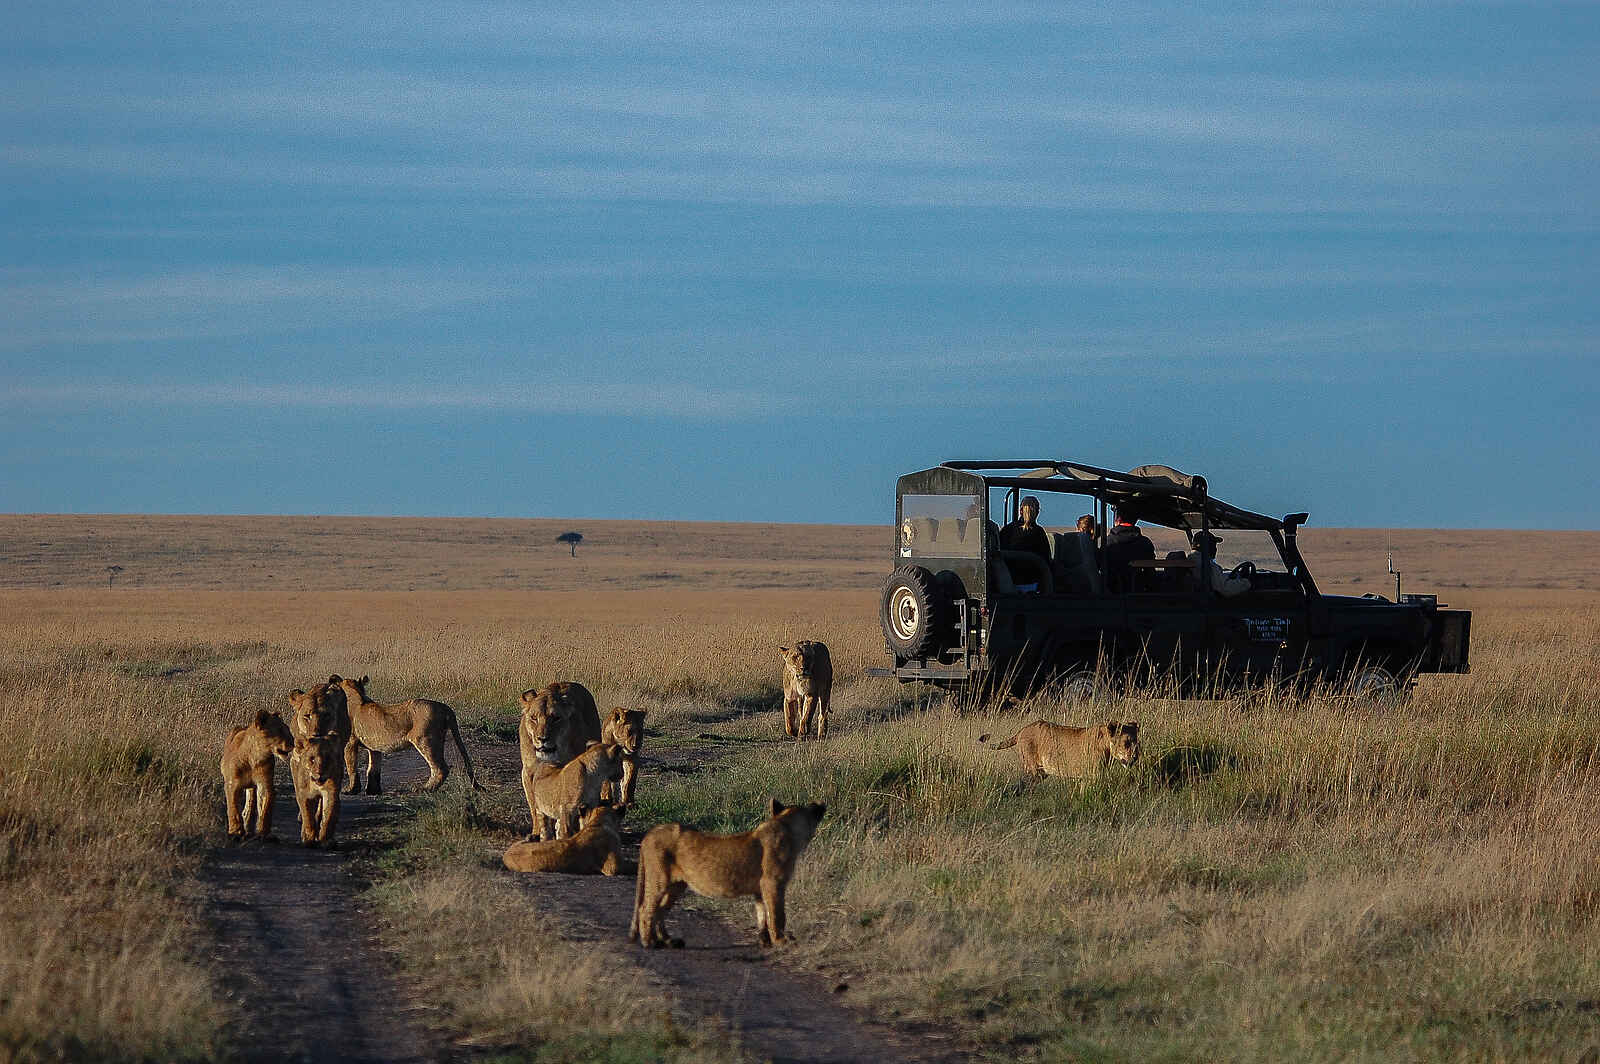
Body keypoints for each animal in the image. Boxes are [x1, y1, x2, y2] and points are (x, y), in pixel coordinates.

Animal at [220, 709, 295, 840]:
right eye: (280, 730)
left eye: (287, 729)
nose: (294, 742)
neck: (255, 756)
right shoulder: (232, 784)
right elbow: (233, 808)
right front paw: (235, 832)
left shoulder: (265, 783)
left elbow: (265, 808)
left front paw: (264, 834)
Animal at [335, 674, 481, 794]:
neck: (354, 692)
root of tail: (444, 707)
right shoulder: (374, 746)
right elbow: (373, 769)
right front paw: (372, 791)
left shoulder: (350, 742)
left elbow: (351, 766)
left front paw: (350, 790)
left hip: (425, 740)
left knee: (440, 768)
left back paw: (424, 789)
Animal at [630, 798, 827, 950]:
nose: (821, 805)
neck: (787, 828)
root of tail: (649, 834)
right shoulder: (772, 883)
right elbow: (777, 914)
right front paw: (781, 940)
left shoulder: (760, 889)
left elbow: (762, 913)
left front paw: (764, 942)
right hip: (659, 879)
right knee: (646, 908)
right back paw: (649, 943)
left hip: (677, 885)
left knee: (661, 910)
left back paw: (668, 941)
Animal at [978, 720, 1140, 780]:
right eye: (1126, 743)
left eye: (1137, 744)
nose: (1134, 758)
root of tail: (1023, 729)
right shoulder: (1093, 774)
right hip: (1032, 770)